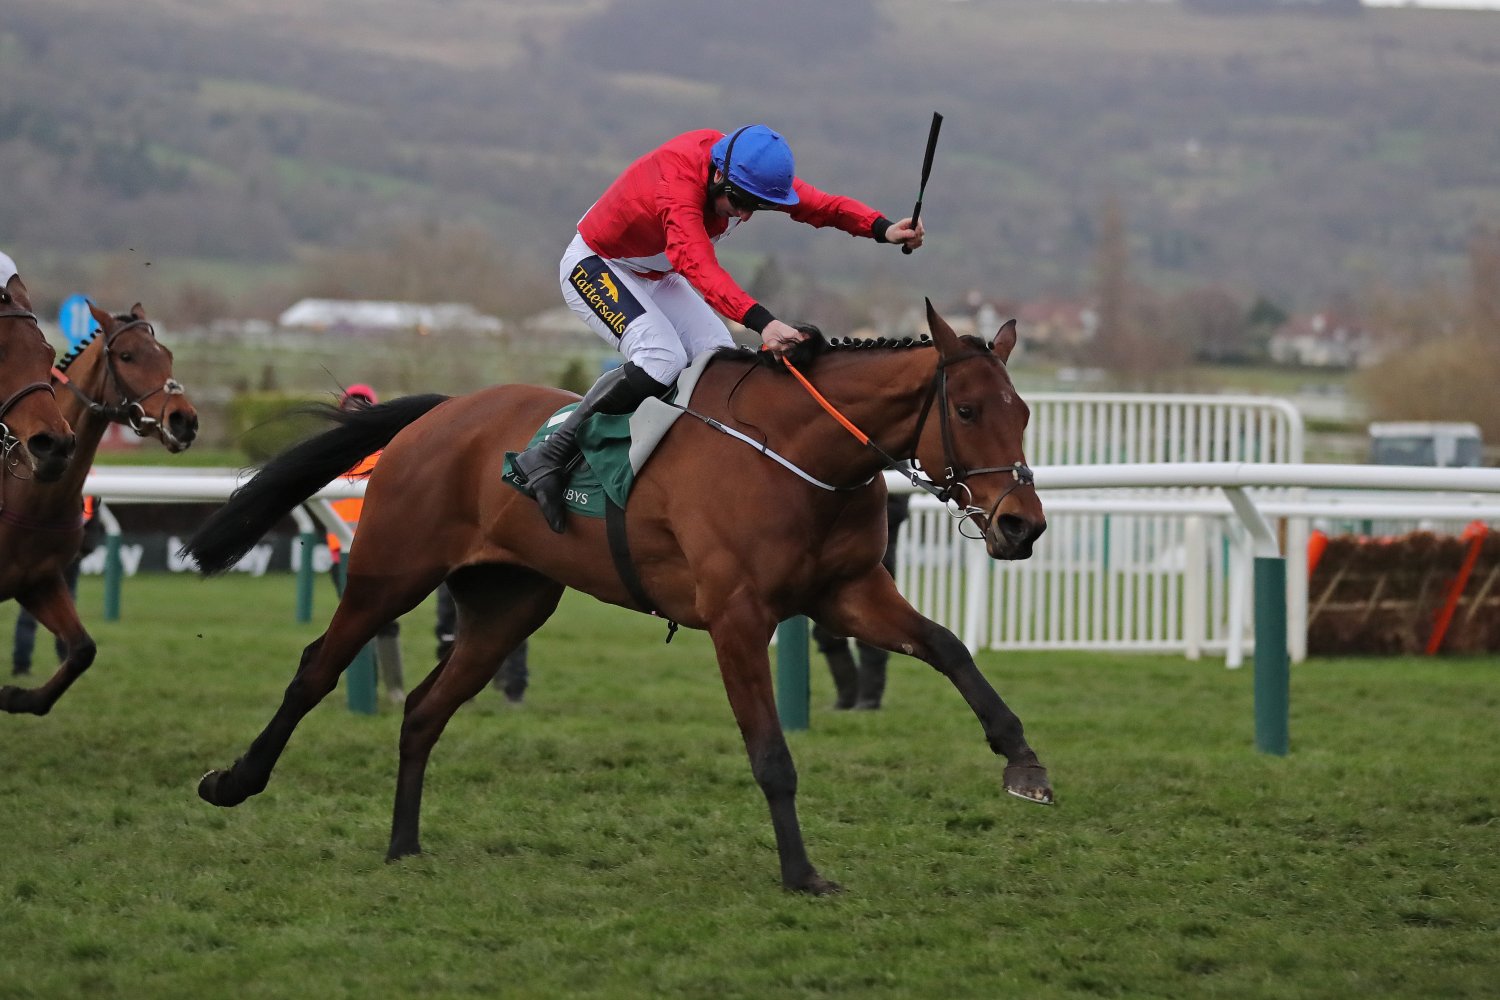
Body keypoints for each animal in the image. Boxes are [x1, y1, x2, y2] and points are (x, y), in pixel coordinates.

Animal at [0, 302, 199, 716]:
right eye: (127, 356)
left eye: (168, 355)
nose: (184, 420)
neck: (28, 491)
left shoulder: (38, 581)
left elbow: (82, 650)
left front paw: (16, 695)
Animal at [184, 300, 1050, 894]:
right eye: (966, 408)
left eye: (1024, 411)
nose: (1022, 524)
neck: (798, 451)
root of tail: (441, 413)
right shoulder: (737, 616)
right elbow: (771, 754)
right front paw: (802, 872)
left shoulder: (846, 591)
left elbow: (948, 647)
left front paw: (1023, 762)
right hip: (388, 573)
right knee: (315, 671)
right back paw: (234, 782)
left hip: (508, 606)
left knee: (425, 710)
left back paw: (404, 844)